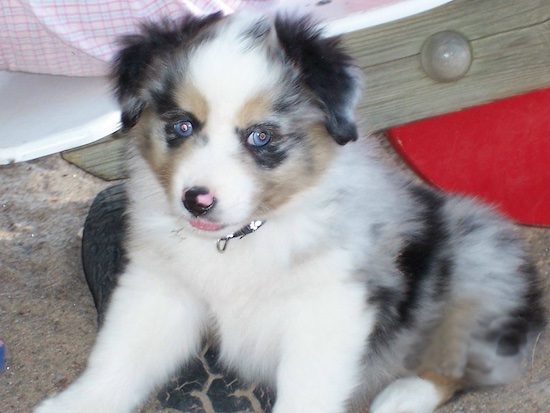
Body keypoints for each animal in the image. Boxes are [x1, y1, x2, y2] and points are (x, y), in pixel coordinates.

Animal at [35, 11, 548, 410]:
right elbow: (118, 359)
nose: (196, 199)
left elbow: (308, 391)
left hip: (477, 267)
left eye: (260, 136)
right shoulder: (160, 288)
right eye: (182, 126)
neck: (242, 237)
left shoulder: (328, 309)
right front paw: (74, 406)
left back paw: (399, 397)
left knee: (462, 363)